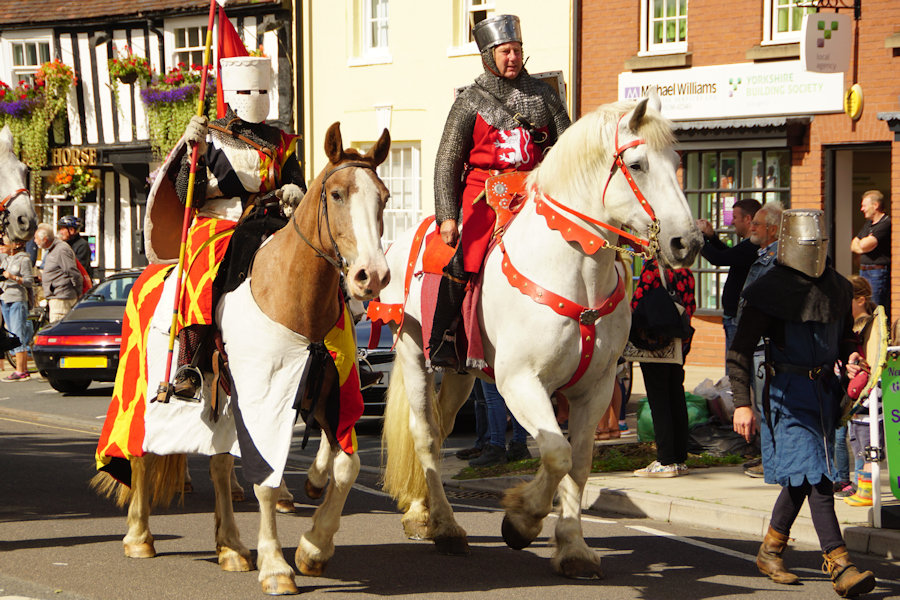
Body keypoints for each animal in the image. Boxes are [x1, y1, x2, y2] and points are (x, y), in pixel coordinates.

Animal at [93, 123, 392, 596]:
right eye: (337, 194)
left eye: (383, 196)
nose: (372, 276)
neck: (289, 293)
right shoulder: (263, 397)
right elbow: (266, 481)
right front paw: (276, 566)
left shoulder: (331, 397)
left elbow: (346, 467)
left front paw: (313, 548)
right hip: (140, 386)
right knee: (139, 452)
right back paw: (139, 536)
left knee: (218, 465)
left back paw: (230, 546)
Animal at [380, 92, 704, 576]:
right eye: (639, 164)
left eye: (677, 161)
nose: (688, 243)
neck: (576, 268)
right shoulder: (520, 382)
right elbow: (556, 453)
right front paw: (522, 519)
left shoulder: (595, 388)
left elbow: (579, 462)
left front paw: (572, 547)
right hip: (414, 352)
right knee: (425, 434)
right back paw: (446, 527)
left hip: (459, 371)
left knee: (441, 428)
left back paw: (423, 513)